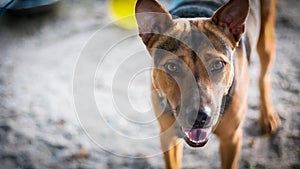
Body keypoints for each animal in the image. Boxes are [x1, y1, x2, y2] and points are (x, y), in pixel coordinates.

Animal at [135, 0, 280, 168]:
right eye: (172, 67)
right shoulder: (168, 138)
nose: (198, 118)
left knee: (264, 77)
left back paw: (267, 116)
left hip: (267, 39)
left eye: (217, 65)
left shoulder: (231, 139)